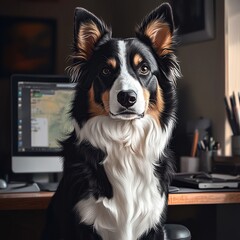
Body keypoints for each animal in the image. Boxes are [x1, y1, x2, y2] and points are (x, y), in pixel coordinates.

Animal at [42, 2, 180, 240]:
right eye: (106, 70)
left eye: (144, 69)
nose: (127, 97)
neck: (125, 140)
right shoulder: (84, 224)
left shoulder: (154, 224)